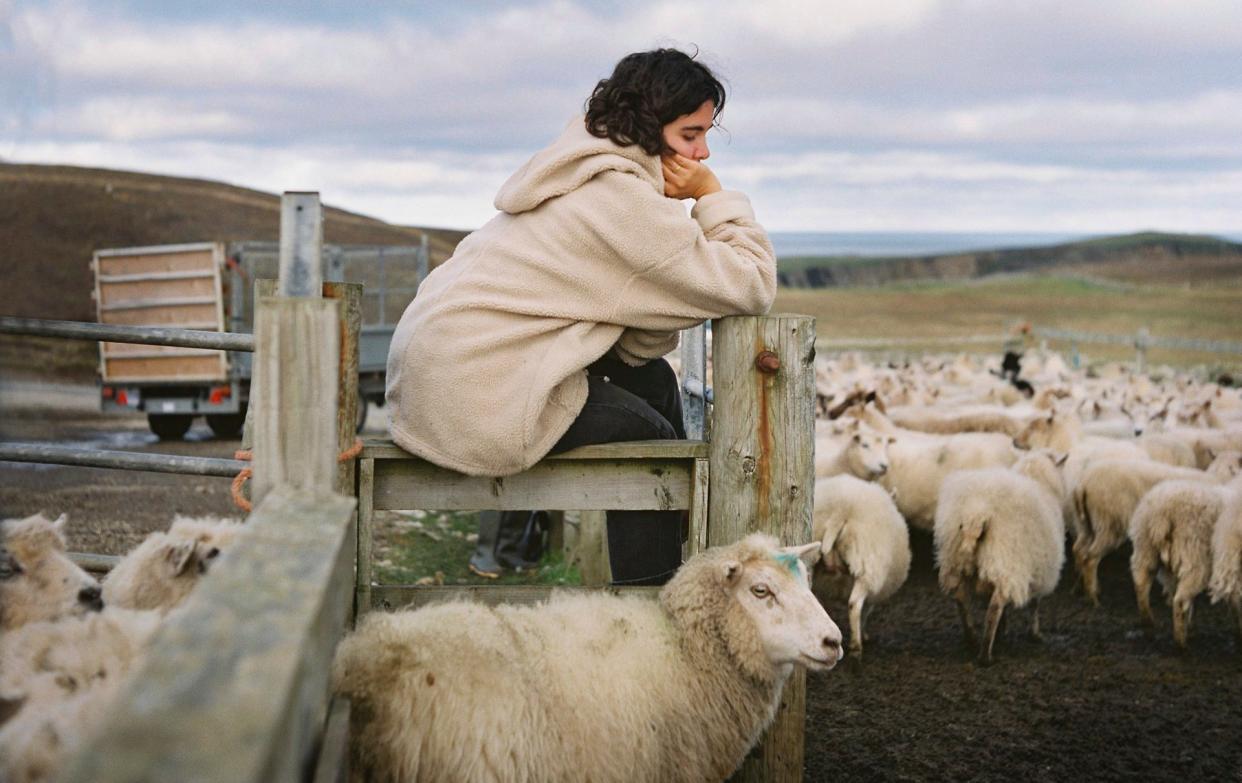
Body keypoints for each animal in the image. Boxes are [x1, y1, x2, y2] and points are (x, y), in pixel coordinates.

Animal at [809, 472, 909, 661]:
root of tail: (840, 511)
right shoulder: (874, 589)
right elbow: (866, 610)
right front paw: (865, 635)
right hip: (868, 567)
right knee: (854, 604)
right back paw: (856, 647)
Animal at [933, 449, 1068, 666]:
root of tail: (976, 513)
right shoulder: (1040, 568)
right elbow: (1035, 604)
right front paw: (1035, 634)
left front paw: (1002, 633)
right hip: (1007, 560)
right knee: (994, 607)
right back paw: (985, 655)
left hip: (954, 560)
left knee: (961, 599)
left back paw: (972, 639)